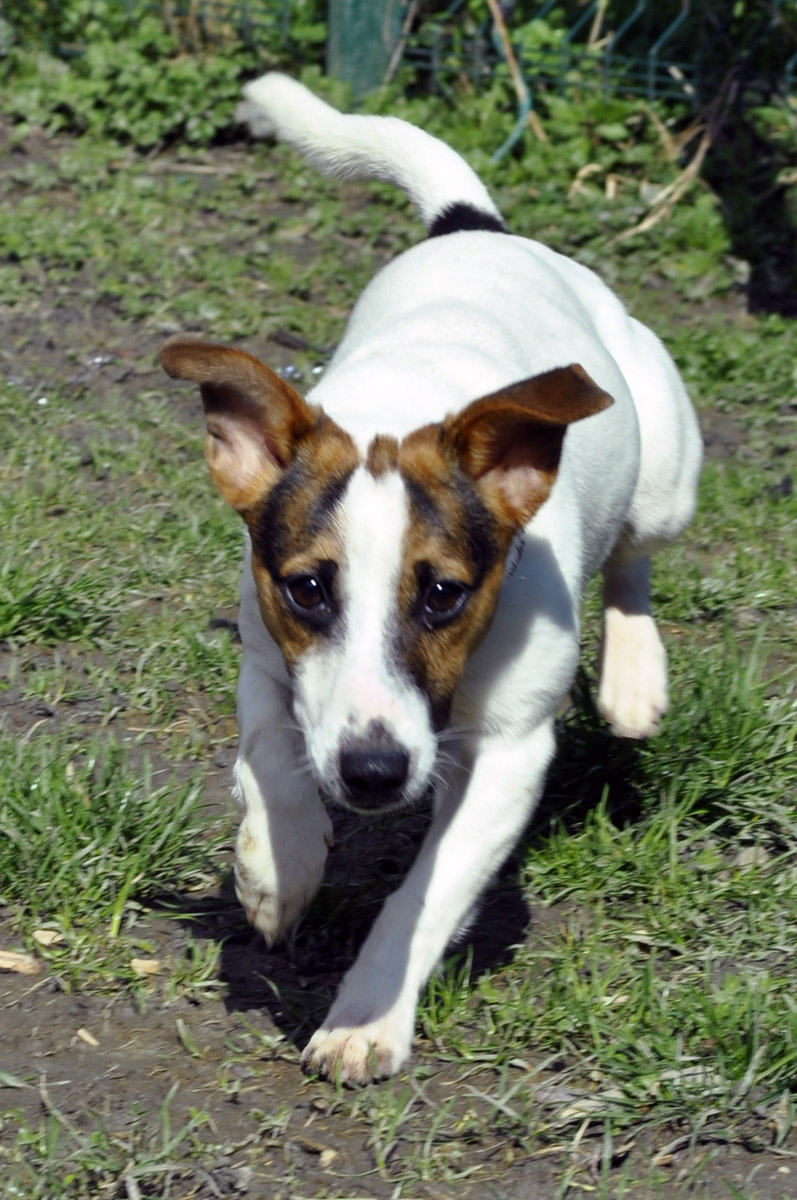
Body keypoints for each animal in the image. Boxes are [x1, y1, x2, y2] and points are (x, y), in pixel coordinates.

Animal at [157, 77, 705, 1089]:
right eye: (308, 589)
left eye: (444, 593)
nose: (372, 774)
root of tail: (476, 228)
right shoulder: (267, 654)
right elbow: (272, 756)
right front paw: (275, 870)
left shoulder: (511, 753)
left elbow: (422, 896)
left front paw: (364, 1018)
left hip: (664, 480)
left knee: (633, 555)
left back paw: (632, 679)